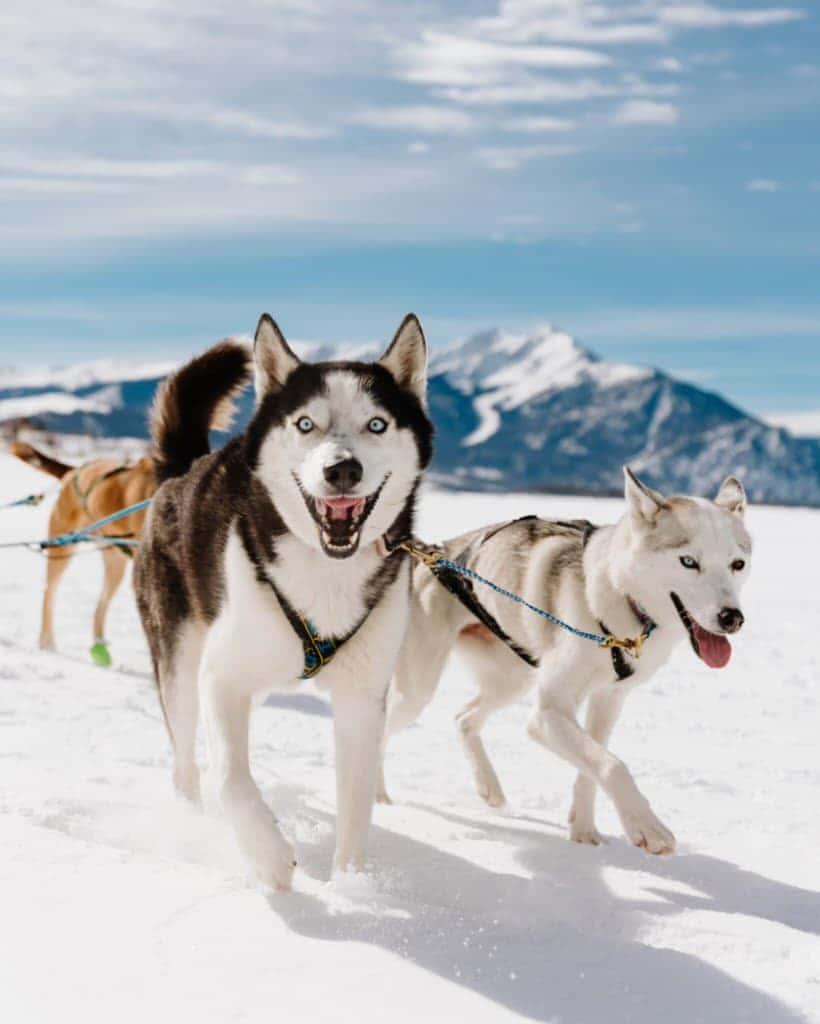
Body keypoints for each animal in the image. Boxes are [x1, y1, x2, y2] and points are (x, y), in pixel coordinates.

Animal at [9, 440, 155, 663]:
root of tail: (75, 470)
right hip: (62, 549)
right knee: (49, 593)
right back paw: (47, 642)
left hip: (116, 564)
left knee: (100, 606)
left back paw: (99, 643)